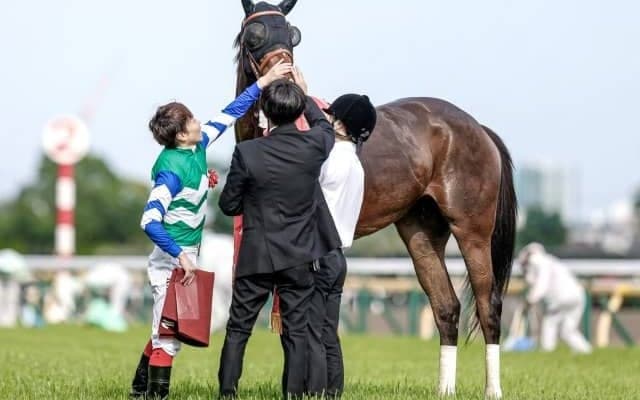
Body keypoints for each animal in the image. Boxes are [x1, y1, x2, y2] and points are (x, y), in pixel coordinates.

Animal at [232, 1, 517, 398]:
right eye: (254, 36)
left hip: (473, 231)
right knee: (446, 306)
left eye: (292, 35)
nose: (285, 83)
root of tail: (477, 128)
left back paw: (493, 390)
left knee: (488, 306)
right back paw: (445, 389)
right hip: (420, 232)